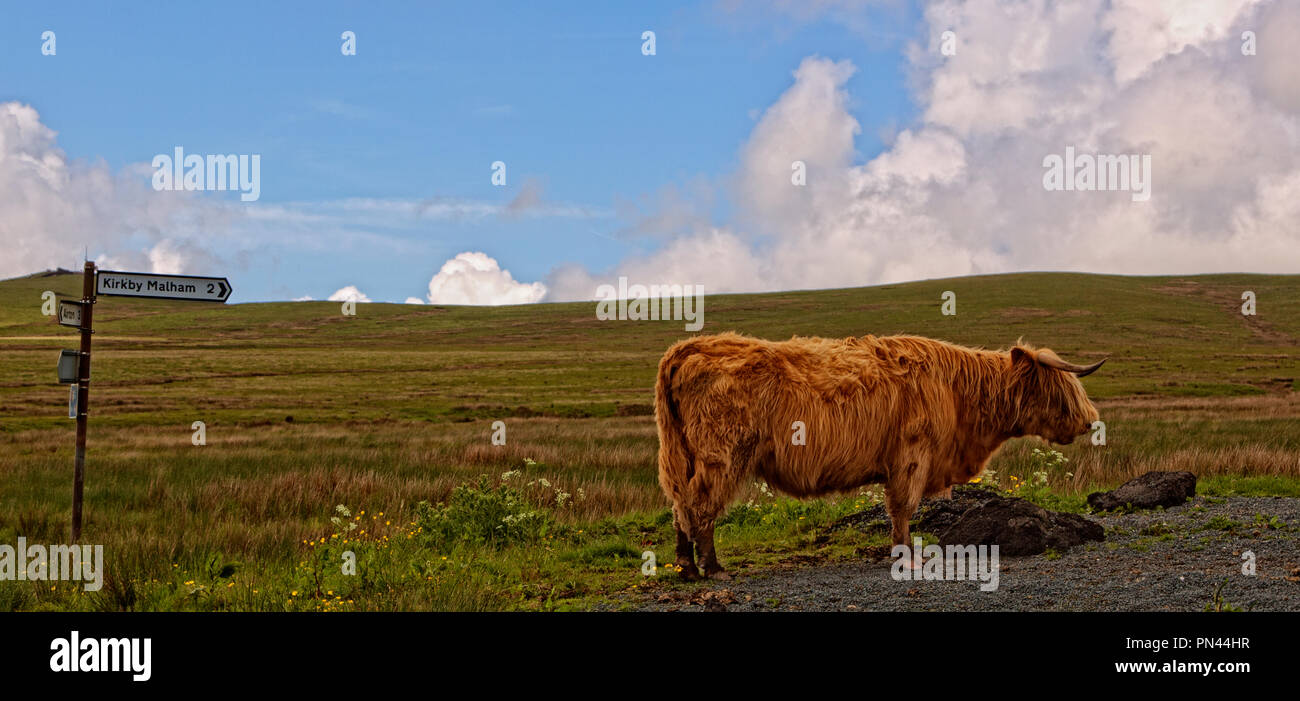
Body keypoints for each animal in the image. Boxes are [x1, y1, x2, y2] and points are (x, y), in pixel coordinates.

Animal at [654, 332, 1104, 580]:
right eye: (1062, 388)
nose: (1090, 421)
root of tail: (686, 347)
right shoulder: (912, 455)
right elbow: (902, 508)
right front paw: (907, 557)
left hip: (682, 456)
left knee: (679, 506)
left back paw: (685, 567)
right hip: (721, 454)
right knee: (700, 505)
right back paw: (713, 568)